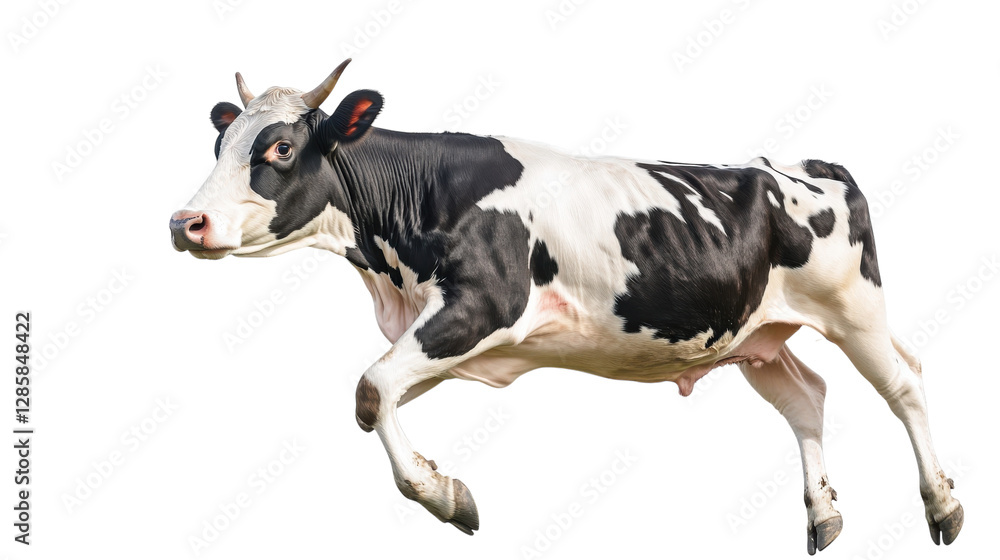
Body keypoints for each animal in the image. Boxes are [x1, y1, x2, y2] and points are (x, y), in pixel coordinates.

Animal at [170, 59, 963, 554]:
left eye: (278, 148)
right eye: (220, 142)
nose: (186, 223)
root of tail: (796, 164)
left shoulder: (481, 306)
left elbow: (370, 388)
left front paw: (447, 496)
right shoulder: (445, 332)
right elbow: (381, 395)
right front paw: (441, 483)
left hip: (854, 308)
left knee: (905, 382)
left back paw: (944, 505)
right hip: (755, 334)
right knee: (807, 396)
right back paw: (824, 514)